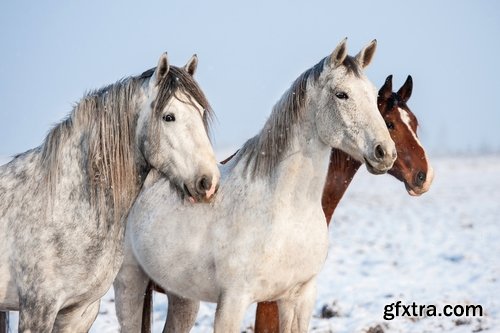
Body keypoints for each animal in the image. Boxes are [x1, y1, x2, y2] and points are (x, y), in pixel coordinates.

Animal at [0, 53, 219, 330]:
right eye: (169, 117)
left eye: (200, 112)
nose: (208, 182)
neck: (63, 205)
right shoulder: (37, 310)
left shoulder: (79, 312)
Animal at [115, 39, 396, 332]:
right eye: (342, 94)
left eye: (372, 94)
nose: (385, 152)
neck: (288, 213)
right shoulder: (233, 301)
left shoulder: (299, 298)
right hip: (130, 283)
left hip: (182, 296)